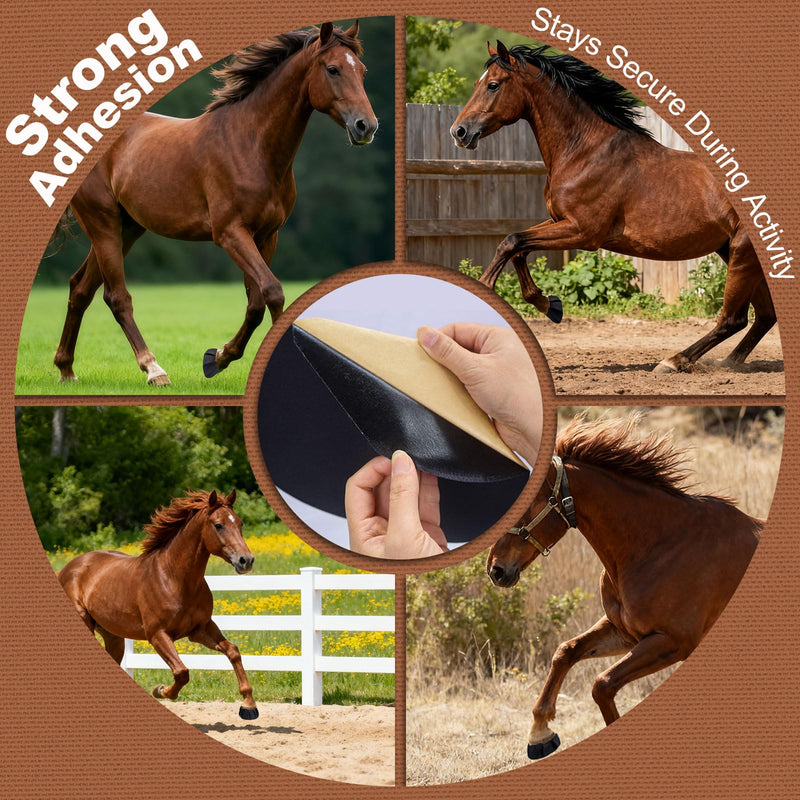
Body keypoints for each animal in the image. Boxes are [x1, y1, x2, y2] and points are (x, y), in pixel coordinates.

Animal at [53, 22, 378, 386]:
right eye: (333, 69)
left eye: (362, 71)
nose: (366, 126)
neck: (250, 145)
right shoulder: (230, 233)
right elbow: (273, 291)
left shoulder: (267, 235)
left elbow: (256, 303)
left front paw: (218, 357)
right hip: (103, 223)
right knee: (116, 297)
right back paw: (154, 370)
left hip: (127, 228)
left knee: (81, 288)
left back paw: (66, 369)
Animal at [58, 489, 260, 719]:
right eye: (218, 525)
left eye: (240, 523)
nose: (246, 560)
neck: (175, 579)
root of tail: (68, 568)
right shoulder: (157, 635)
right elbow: (182, 672)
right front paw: (160, 690)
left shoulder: (201, 629)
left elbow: (233, 651)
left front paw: (248, 705)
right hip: (85, 623)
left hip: (113, 636)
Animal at [451, 42, 774, 373]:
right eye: (477, 83)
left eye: (493, 85)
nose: (459, 132)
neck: (585, 151)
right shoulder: (559, 220)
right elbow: (517, 247)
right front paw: (549, 305)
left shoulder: (584, 233)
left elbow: (511, 242)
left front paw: (484, 291)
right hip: (735, 253)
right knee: (763, 316)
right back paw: (729, 363)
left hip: (741, 253)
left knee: (733, 319)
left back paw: (673, 361)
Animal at [485, 415, 761, 759]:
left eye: (524, 504)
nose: (495, 570)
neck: (658, 544)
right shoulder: (625, 633)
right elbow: (565, 652)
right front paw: (540, 734)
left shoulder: (672, 642)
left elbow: (602, 685)